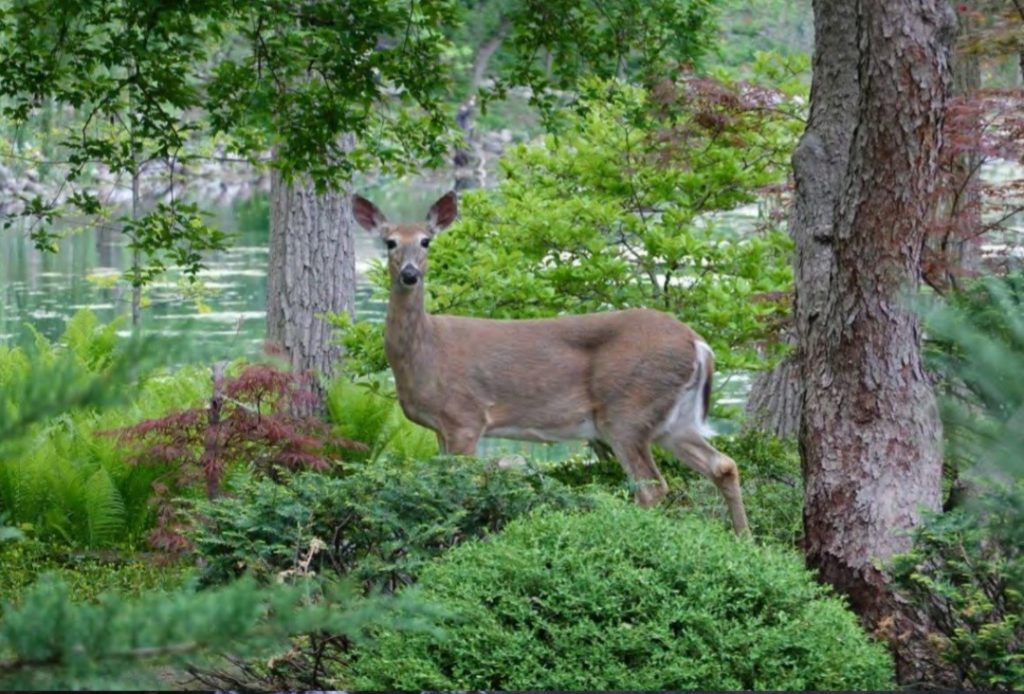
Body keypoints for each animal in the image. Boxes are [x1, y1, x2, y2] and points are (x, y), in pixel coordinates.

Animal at [351, 191, 749, 534]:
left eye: (426, 241)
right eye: (390, 242)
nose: (409, 274)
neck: (427, 354)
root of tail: (698, 343)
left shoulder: (465, 417)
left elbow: (461, 488)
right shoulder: (440, 427)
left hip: (628, 409)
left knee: (652, 486)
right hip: (672, 420)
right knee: (723, 464)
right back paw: (744, 541)